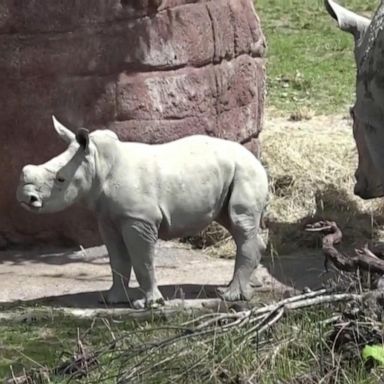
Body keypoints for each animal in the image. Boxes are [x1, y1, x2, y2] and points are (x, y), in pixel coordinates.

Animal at [16, 117, 268, 308]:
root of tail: (255, 158)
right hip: (230, 173)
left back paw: (231, 296)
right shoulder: (107, 218)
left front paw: (148, 304)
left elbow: (141, 259)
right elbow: (117, 259)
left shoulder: (138, 218)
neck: (98, 164)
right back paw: (250, 287)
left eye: (60, 179)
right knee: (234, 223)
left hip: (245, 171)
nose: (25, 197)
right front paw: (112, 300)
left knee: (239, 222)